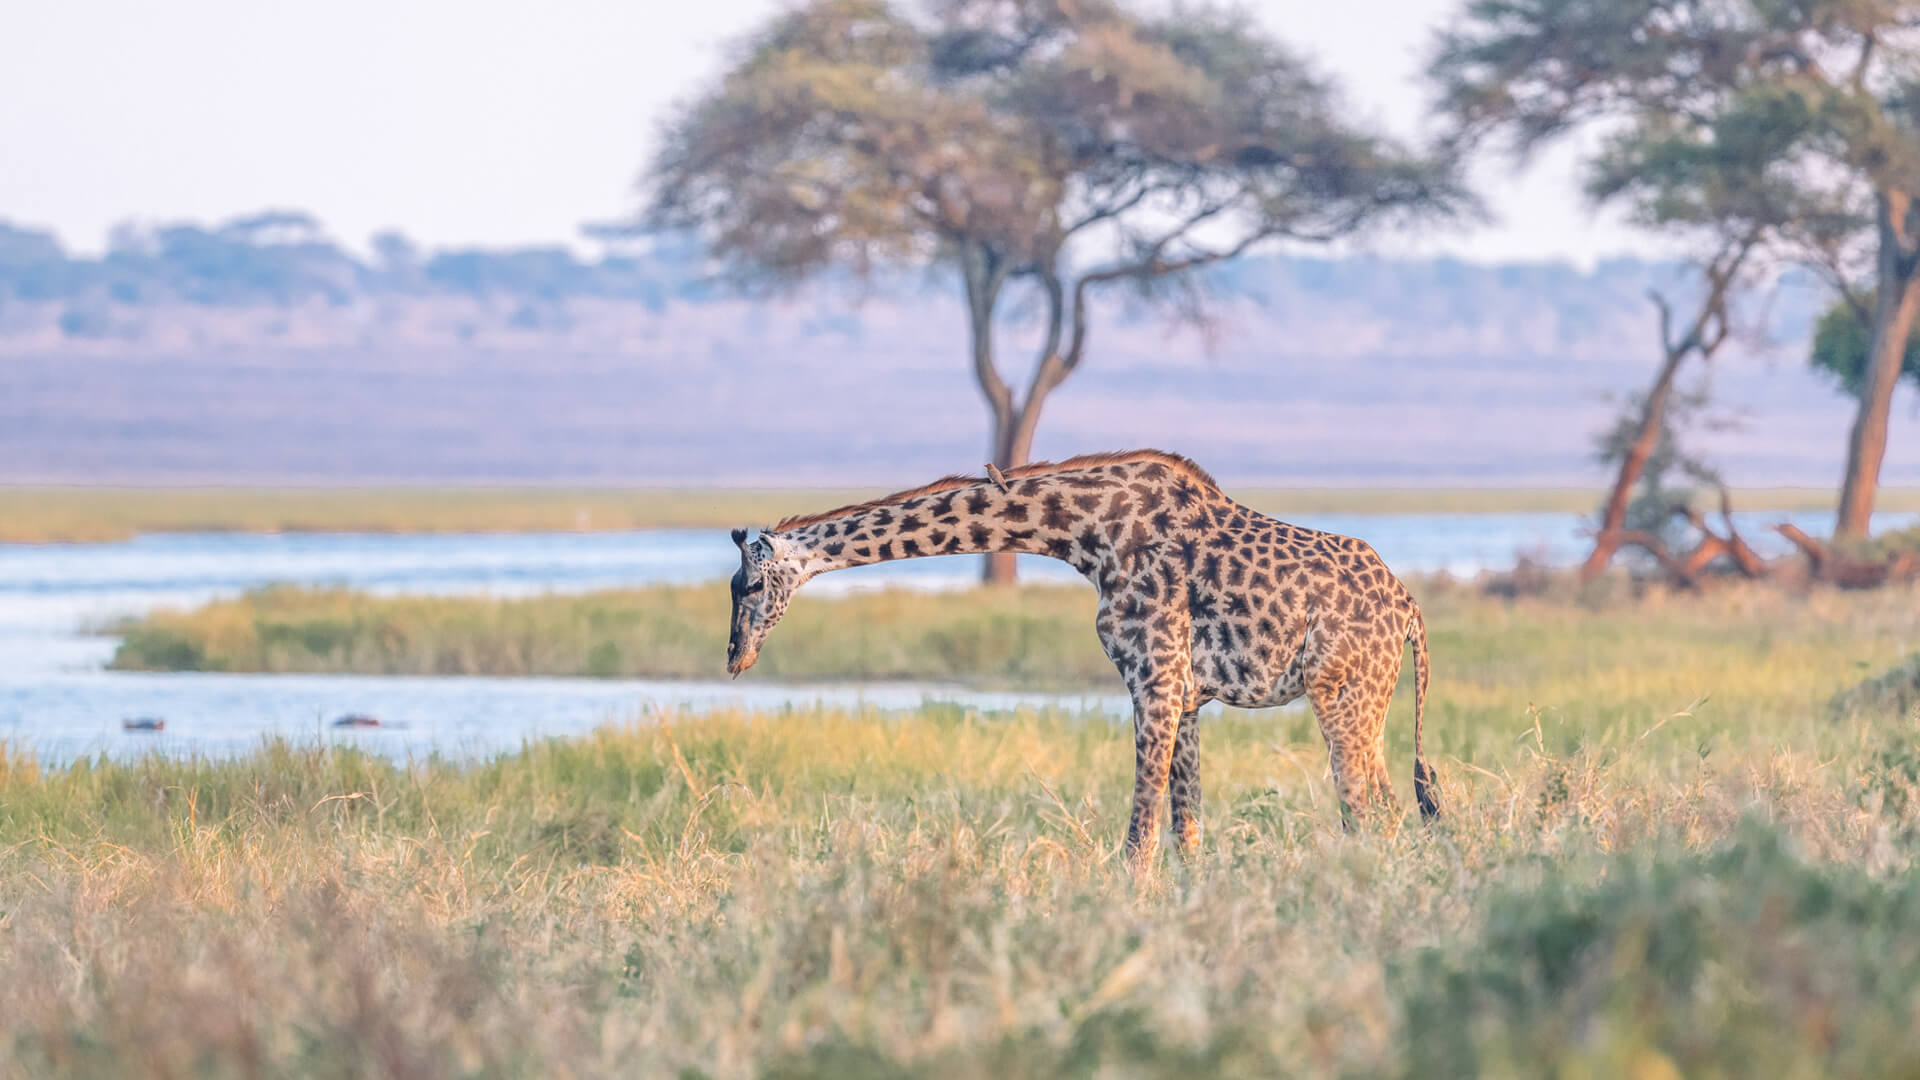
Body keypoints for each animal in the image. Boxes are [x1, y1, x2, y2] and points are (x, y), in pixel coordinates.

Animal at [725, 450, 1440, 864]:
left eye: (750, 585)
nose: (735, 658)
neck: (1085, 533)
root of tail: (1408, 607)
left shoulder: (1154, 679)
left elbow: (1139, 836)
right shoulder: (1185, 695)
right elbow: (1185, 833)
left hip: (1343, 697)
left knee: (1369, 813)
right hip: (1367, 703)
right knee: (1388, 811)